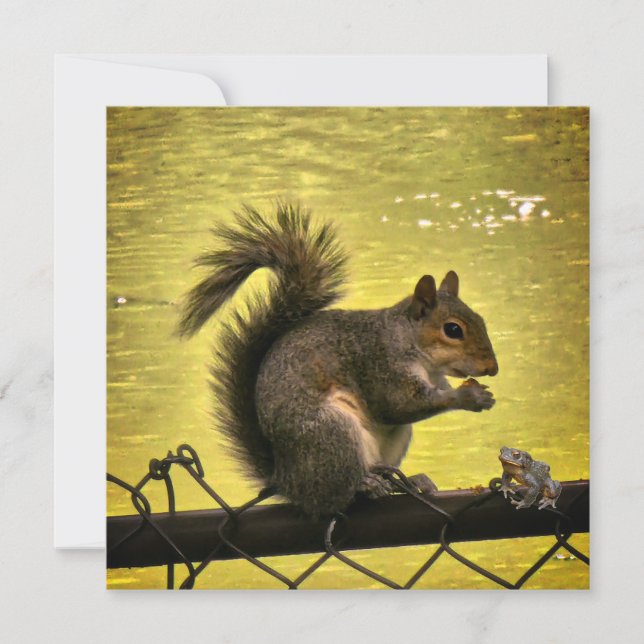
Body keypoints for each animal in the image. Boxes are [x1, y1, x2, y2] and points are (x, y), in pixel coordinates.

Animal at [179, 202, 498, 517]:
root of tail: (288, 481)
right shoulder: (380, 364)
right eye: (453, 330)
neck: (412, 346)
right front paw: (470, 397)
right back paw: (365, 485)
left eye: (481, 319)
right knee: (333, 498)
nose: (492, 369)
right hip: (332, 432)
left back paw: (405, 479)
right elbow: (399, 405)